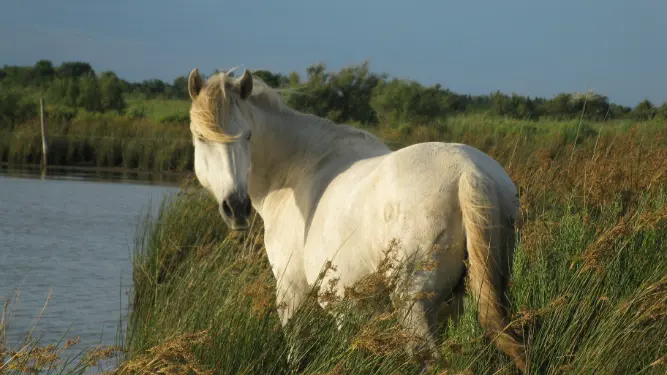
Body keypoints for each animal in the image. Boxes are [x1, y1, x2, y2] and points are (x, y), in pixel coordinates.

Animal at [187, 68, 528, 374]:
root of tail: (469, 171)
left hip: (414, 305)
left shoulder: (291, 291)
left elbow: (296, 353)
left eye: (248, 136)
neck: (299, 169)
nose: (236, 207)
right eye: (201, 138)